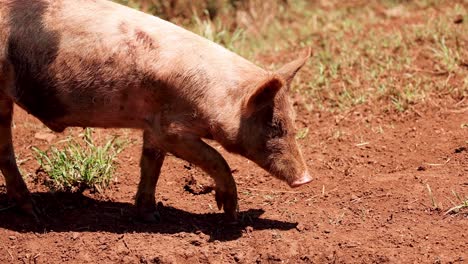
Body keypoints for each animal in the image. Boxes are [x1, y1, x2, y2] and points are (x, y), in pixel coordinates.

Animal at [0, 0, 314, 222]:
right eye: (273, 127)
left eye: (292, 121)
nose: (306, 179)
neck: (218, 98)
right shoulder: (172, 130)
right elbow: (216, 158)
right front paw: (230, 215)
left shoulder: (153, 124)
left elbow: (152, 164)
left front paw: (150, 215)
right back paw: (35, 213)